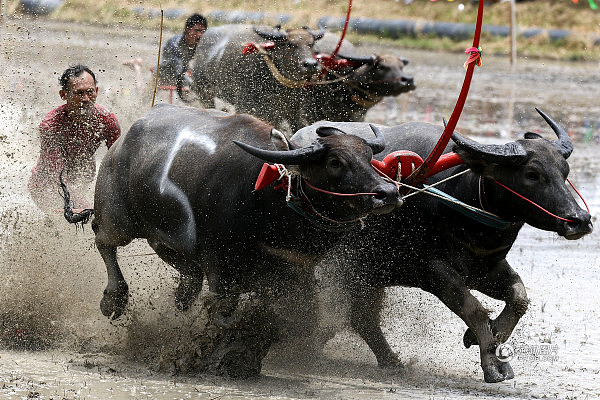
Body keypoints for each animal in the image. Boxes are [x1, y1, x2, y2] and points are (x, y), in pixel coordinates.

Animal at [67, 103, 404, 378]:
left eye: (369, 156)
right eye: (335, 162)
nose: (388, 193)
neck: (271, 197)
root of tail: (122, 141)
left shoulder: (298, 270)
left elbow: (297, 318)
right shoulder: (218, 260)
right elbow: (224, 313)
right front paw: (215, 356)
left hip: (165, 238)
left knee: (188, 273)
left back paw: (182, 298)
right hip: (118, 218)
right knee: (104, 242)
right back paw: (114, 298)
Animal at [191, 23, 324, 128]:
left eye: (311, 44)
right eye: (290, 44)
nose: (310, 64)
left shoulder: (293, 111)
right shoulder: (246, 107)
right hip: (204, 92)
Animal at [292, 108, 592, 382]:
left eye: (565, 171)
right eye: (532, 174)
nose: (580, 220)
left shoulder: (486, 267)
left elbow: (519, 298)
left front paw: (490, 338)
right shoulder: (431, 269)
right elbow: (472, 307)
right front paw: (492, 362)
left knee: (359, 317)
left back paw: (387, 360)